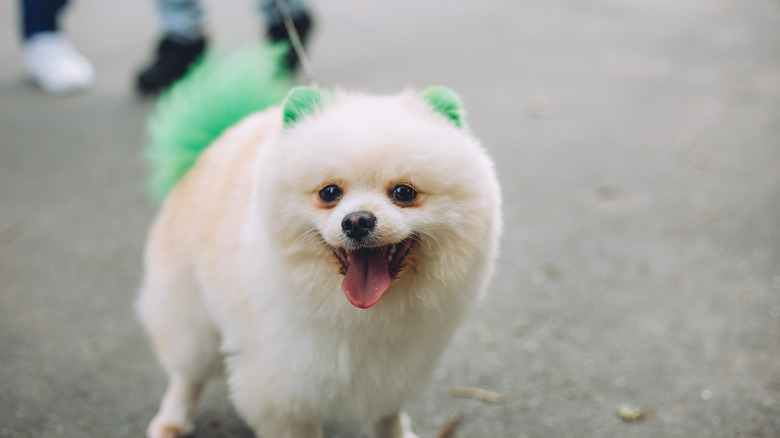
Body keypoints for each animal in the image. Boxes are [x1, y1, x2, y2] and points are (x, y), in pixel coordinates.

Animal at [137, 45, 502, 438]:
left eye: (404, 192)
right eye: (329, 193)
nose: (357, 220)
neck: (364, 316)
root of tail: (213, 140)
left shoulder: (394, 372)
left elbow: (388, 418)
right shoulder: (281, 389)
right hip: (193, 317)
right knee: (186, 373)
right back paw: (171, 420)